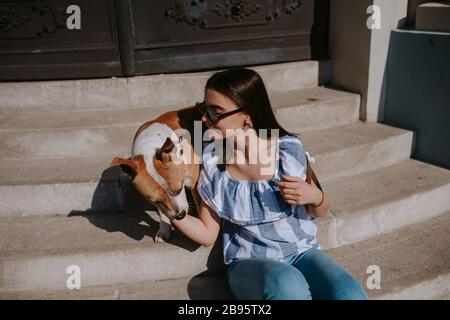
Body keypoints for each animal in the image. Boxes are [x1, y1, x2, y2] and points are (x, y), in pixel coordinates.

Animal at [110, 105, 204, 242]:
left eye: (179, 189)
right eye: (157, 201)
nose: (180, 216)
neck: (150, 147)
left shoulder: (194, 185)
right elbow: (164, 213)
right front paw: (164, 229)